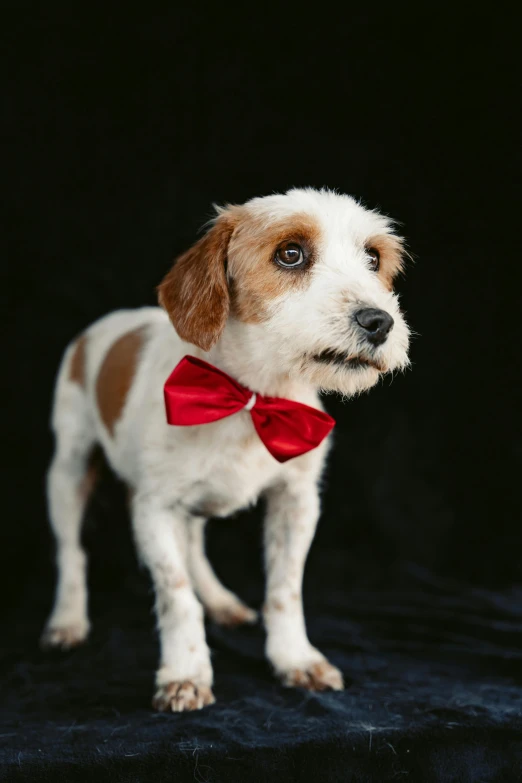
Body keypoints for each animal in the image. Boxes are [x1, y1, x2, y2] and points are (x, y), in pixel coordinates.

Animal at [41, 188, 410, 712]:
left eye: (373, 258)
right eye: (290, 253)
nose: (380, 322)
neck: (251, 396)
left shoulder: (296, 500)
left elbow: (284, 590)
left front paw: (295, 659)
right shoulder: (154, 509)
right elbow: (176, 597)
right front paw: (185, 672)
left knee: (194, 544)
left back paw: (220, 601)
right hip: (69, 470)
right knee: (71, 551)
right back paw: (68, 620)